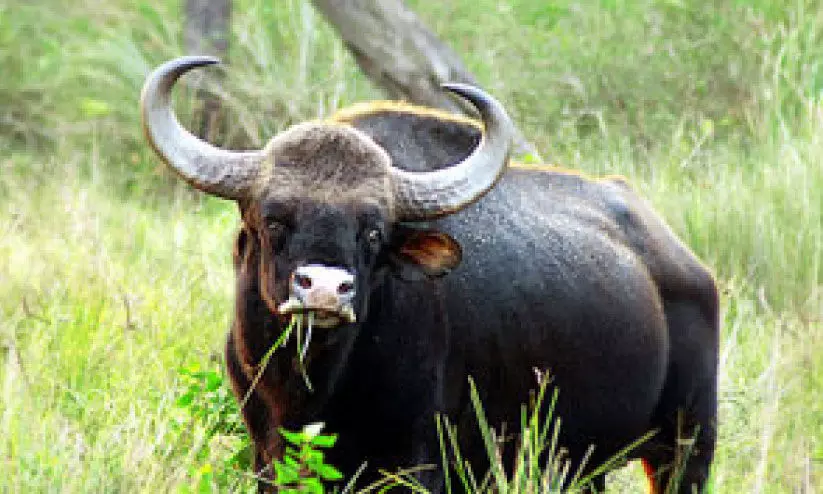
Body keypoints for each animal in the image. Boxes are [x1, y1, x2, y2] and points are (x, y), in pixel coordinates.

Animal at [141, 56, 719, 493]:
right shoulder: (270, 455)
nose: (325, 290)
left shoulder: (418, 461)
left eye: (373, 231)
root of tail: (685, 264)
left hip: (687, 444)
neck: (313, 386)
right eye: (274, 218)